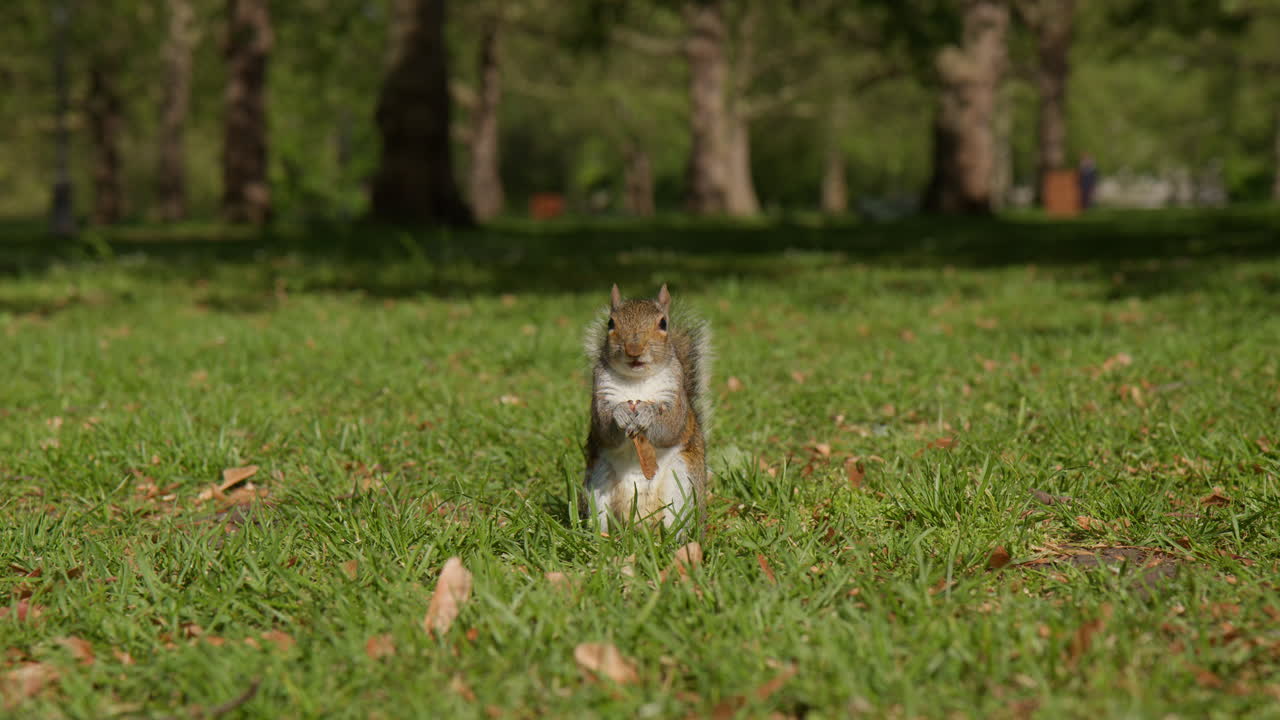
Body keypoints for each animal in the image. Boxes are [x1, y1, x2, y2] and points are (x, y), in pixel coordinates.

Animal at [582, 284, 712, 536]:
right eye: (611, 323)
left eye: (663, 323)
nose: (634, 350)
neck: (637, 381)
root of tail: (641, 528)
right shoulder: (600, 394)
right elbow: (604, 429)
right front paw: (620, 413)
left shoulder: (675, 396)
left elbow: (670, 427)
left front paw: (648, 414)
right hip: (598, 482)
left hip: (683, 483)